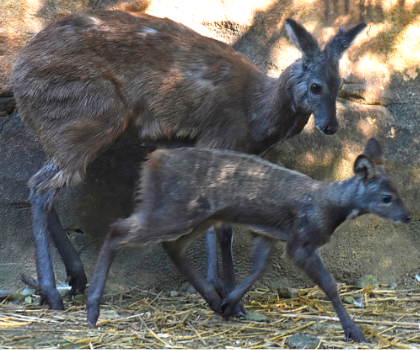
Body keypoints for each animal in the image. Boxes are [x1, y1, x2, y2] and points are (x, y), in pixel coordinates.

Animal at [9, 10, 364, 312]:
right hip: (88, 118)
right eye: (316, 86)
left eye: (340, 84)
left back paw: (74, 280)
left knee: (44, 189)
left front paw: (219, 291)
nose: (330, 126)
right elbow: (221, 229)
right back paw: (53, 293)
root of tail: (17, 76)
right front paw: (226, 297)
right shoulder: (218, 140)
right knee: (40, 187)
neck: (255, 112)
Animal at [87, 137, 412, 342]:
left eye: (398, 189)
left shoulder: (265, 233)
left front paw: (230, 303)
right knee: (118, 230)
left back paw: (213, 299)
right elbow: (329, 284)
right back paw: (92, 311)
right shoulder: (301, 241)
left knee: (172, 245)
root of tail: (152, 161)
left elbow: (258, 269)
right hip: (174, 209)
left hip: (198, 216)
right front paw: (355, 333)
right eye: (386, 197)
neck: (329, 207)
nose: (408, 217)